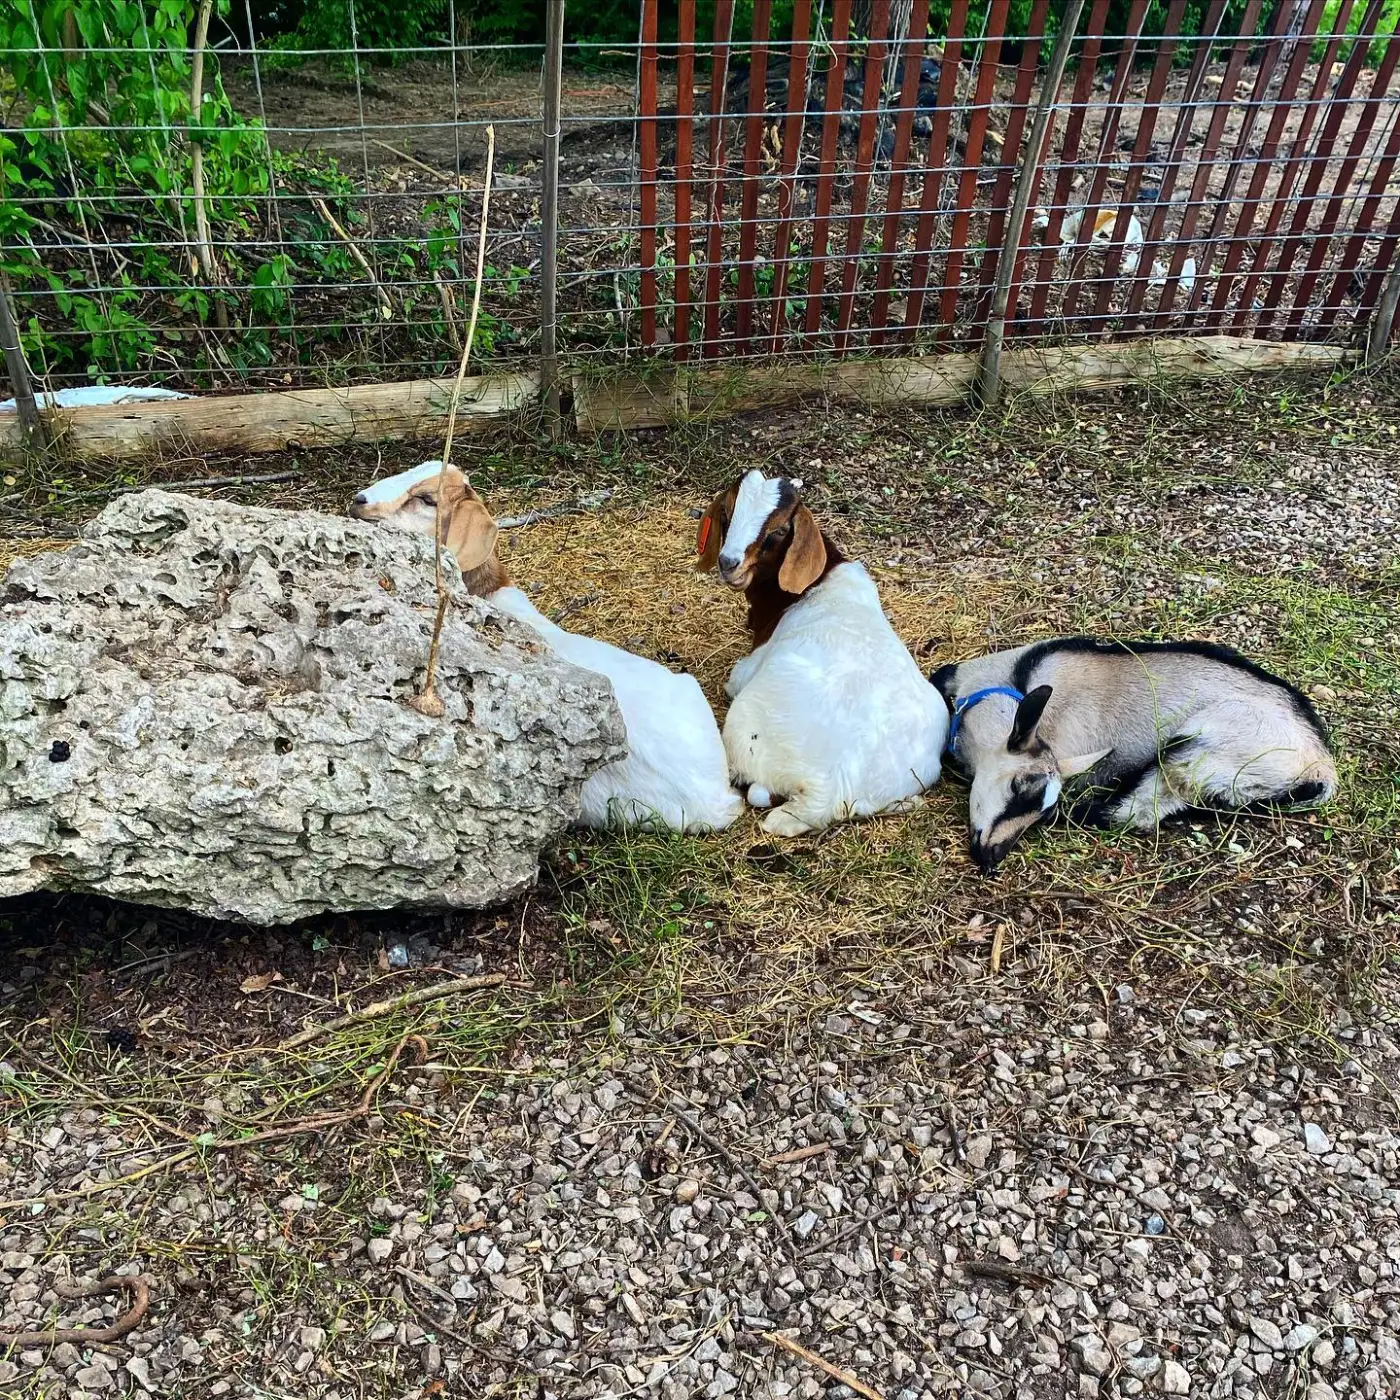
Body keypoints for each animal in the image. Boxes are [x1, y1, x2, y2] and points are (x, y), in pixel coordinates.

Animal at [697, 469, 948, 836]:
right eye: (728, 512)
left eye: (778, 531)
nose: (729, 563)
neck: (814, 586)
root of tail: (828, 792)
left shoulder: (747, 669)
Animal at [931, 637, 1338, 873]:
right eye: (1018, 787)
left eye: (1041, 807)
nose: (993, 855)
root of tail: (1319, 768)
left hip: (1202, 749)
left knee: (1140, 810)